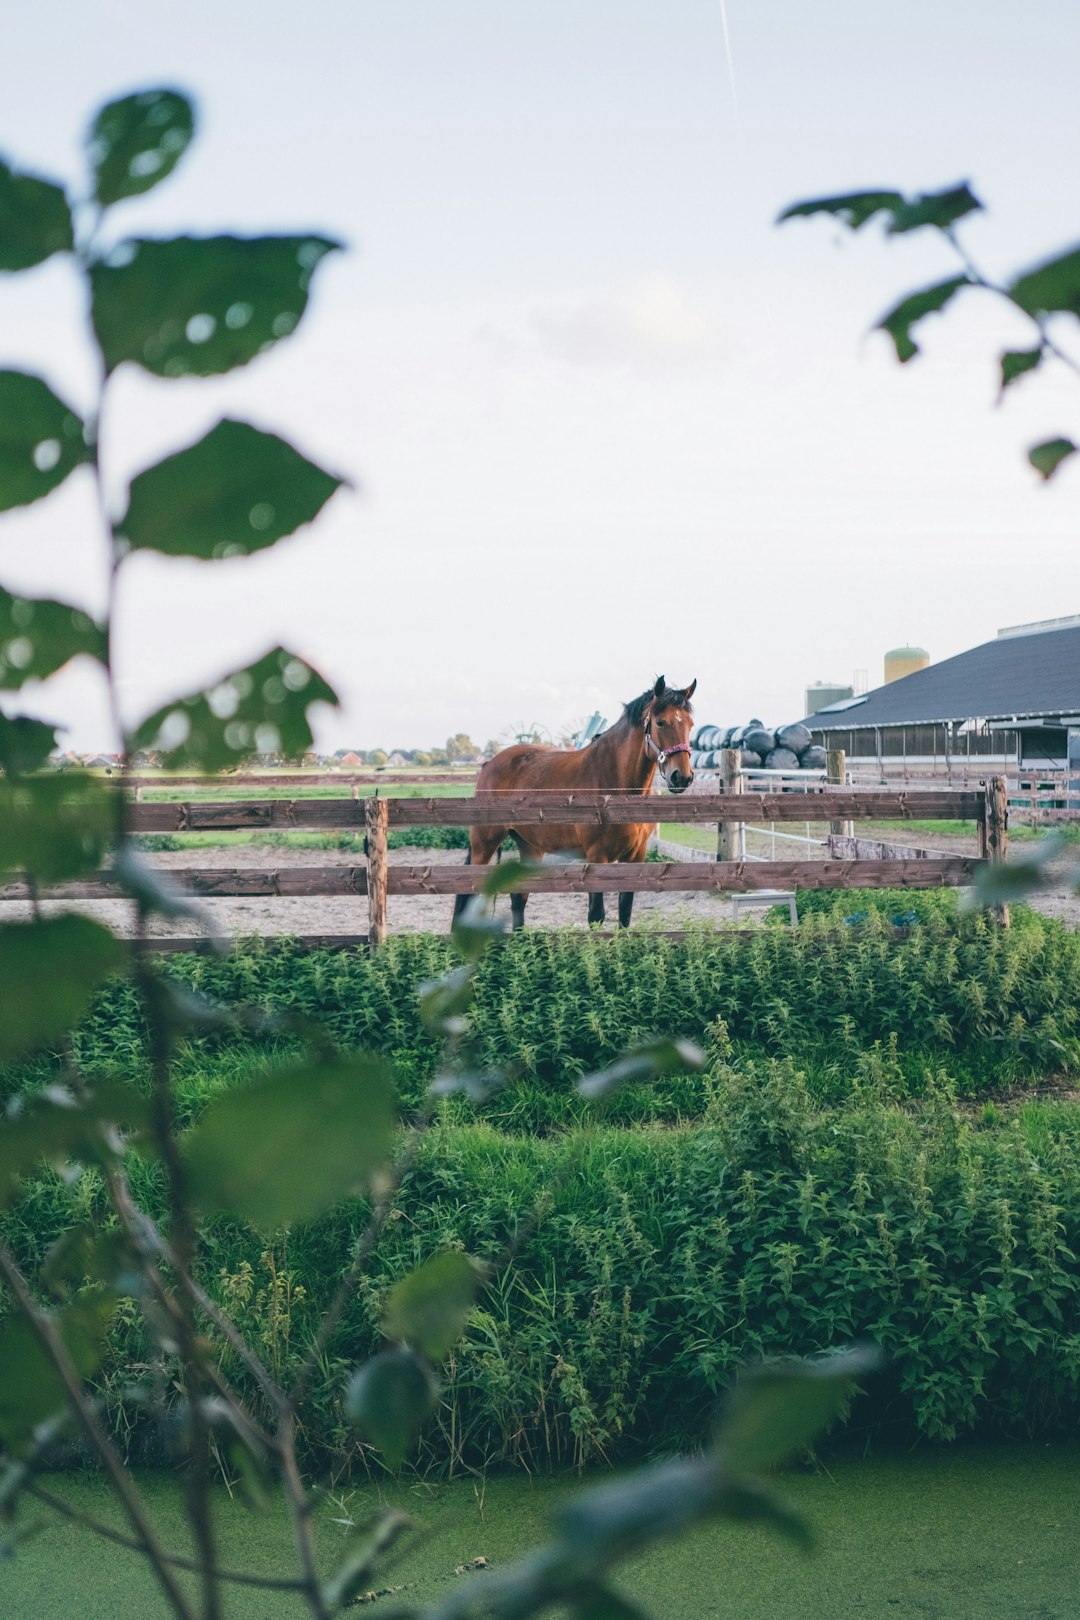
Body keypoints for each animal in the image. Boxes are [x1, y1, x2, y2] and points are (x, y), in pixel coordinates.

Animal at [453, 677, 693, 933]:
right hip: (484, 843)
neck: (613, 782)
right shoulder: (597, 856)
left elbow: (625, 913)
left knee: (519, 897)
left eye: (690, 724)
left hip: (529, 846)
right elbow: (596, 914)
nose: (682, 777)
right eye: (660, 722)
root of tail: (489, 764)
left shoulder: (636, 856)